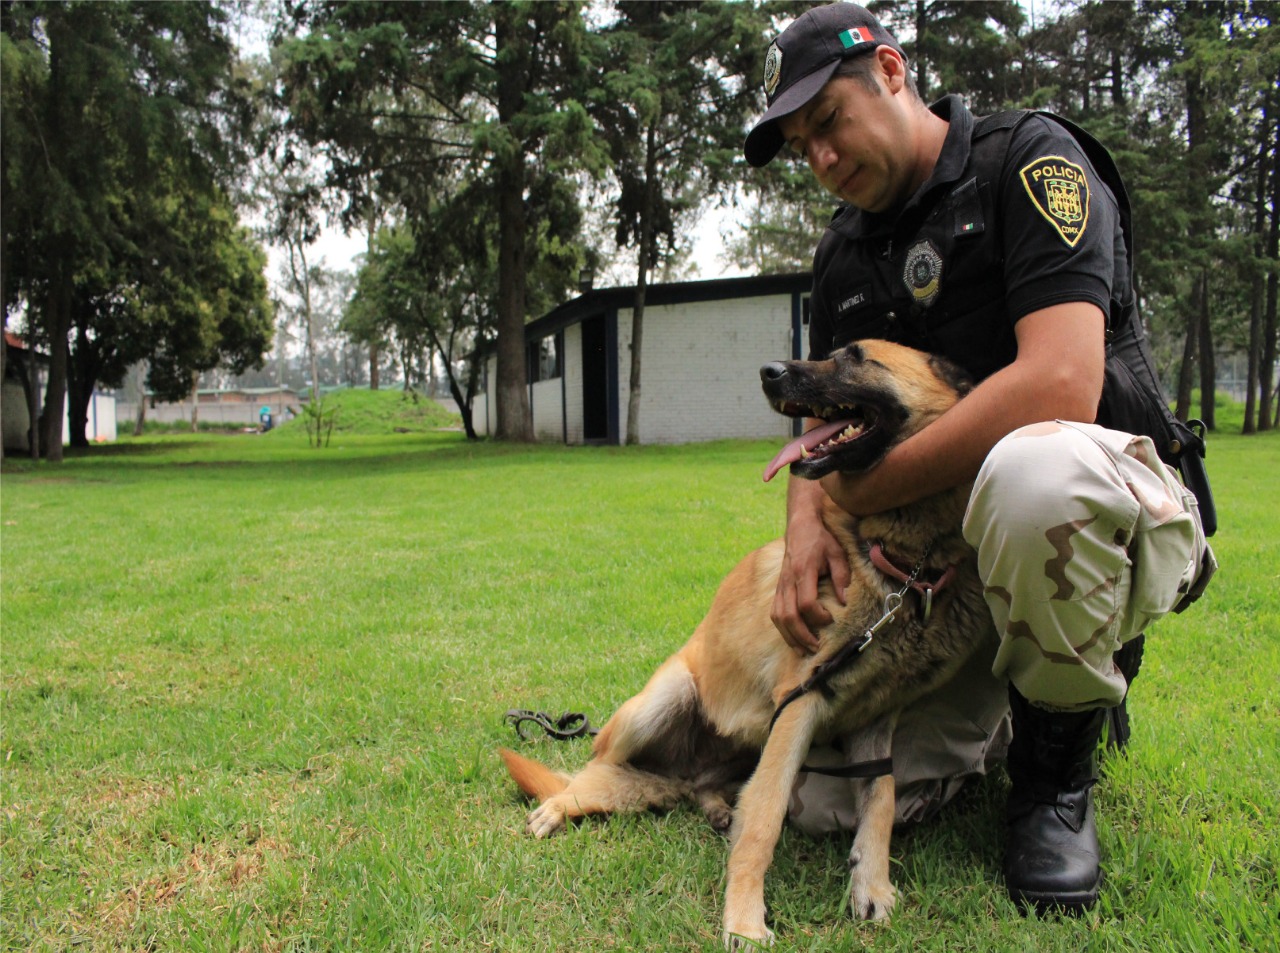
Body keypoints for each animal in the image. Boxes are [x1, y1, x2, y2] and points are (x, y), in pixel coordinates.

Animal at [499, 340, 988, 946]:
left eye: (856, 357)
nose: (768, 371)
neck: (901, 566)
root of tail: (678, 774)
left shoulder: (876, 718)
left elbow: (882, 798)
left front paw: (871, 885)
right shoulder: (800, 704)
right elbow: (766, 816)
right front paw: (745, 920)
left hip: (740, 747)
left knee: (697, 788)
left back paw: (711, 807)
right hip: (661, 703)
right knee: (594, 770)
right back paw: (565, 803)